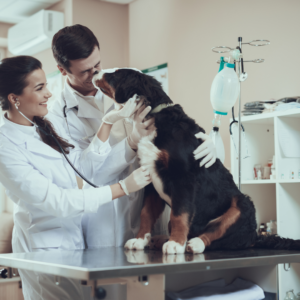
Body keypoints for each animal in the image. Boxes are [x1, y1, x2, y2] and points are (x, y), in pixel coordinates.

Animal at [94, 68, 300, 255]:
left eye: (115, 74)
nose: (96, 72)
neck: (155, 118)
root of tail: (256, 237)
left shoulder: (183, 178)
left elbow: (179, 214)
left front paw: (176, 244)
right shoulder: (150, 179)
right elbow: (146, 213)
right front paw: (140, 240)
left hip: (243, 204)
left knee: (219, 235)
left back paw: (192, 243)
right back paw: (161, 239)